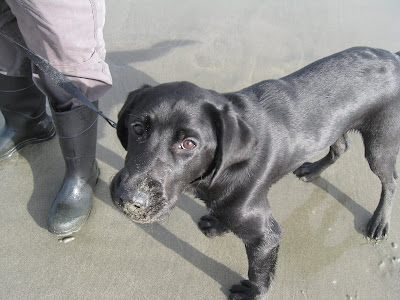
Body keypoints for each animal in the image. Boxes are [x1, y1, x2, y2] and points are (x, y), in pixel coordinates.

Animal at [111, 47, 400, 298]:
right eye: (138, 128)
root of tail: (393, 56)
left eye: (189, 144)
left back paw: (379, 221)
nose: (129, 200)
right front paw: (218, 224)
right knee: (341, 147)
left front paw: (253, 292)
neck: (219, 173)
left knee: (391, 180)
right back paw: (311, 170)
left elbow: (259, 271)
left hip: (380, 144)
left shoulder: (267, 236)